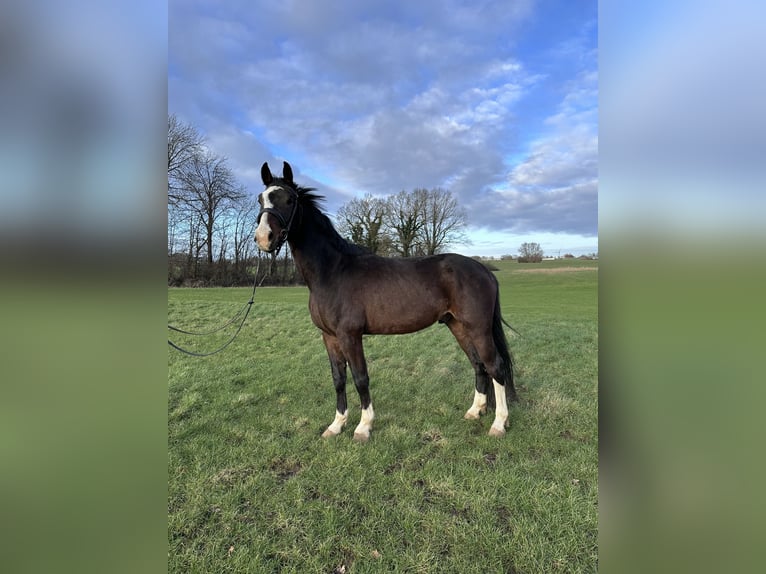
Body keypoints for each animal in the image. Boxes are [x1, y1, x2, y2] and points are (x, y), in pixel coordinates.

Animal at [255, 164, 520, 444]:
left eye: (289, 199)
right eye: (261, 199)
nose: (264, 238)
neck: (332, 271)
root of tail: (484, 270)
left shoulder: (350, 335)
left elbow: (360, 378)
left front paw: (363, 427)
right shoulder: (329, 336)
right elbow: (338, 379)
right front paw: (336, 425)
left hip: (478, 328)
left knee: (495, 367)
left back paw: (499, 423)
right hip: (457, 325)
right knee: (478, 364)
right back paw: (475, 411)